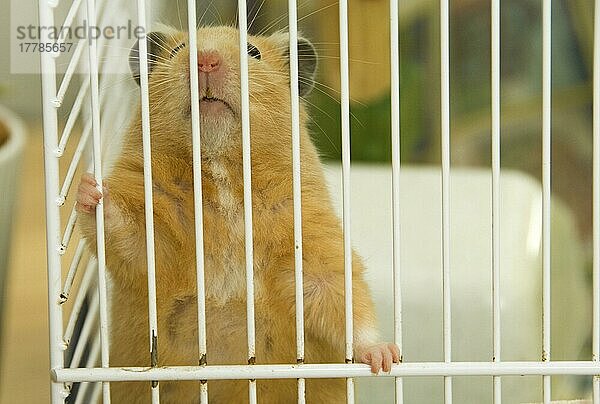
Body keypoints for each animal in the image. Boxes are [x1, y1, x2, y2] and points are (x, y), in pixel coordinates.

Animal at [76, 26, 398, 404]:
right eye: (178, 50)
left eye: (252, 52)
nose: (205, 59)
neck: (222, 170)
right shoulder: (153, 238)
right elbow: (127, 234)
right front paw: (88, 187)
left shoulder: (312, 237)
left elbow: (342, 298)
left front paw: (385, 358)